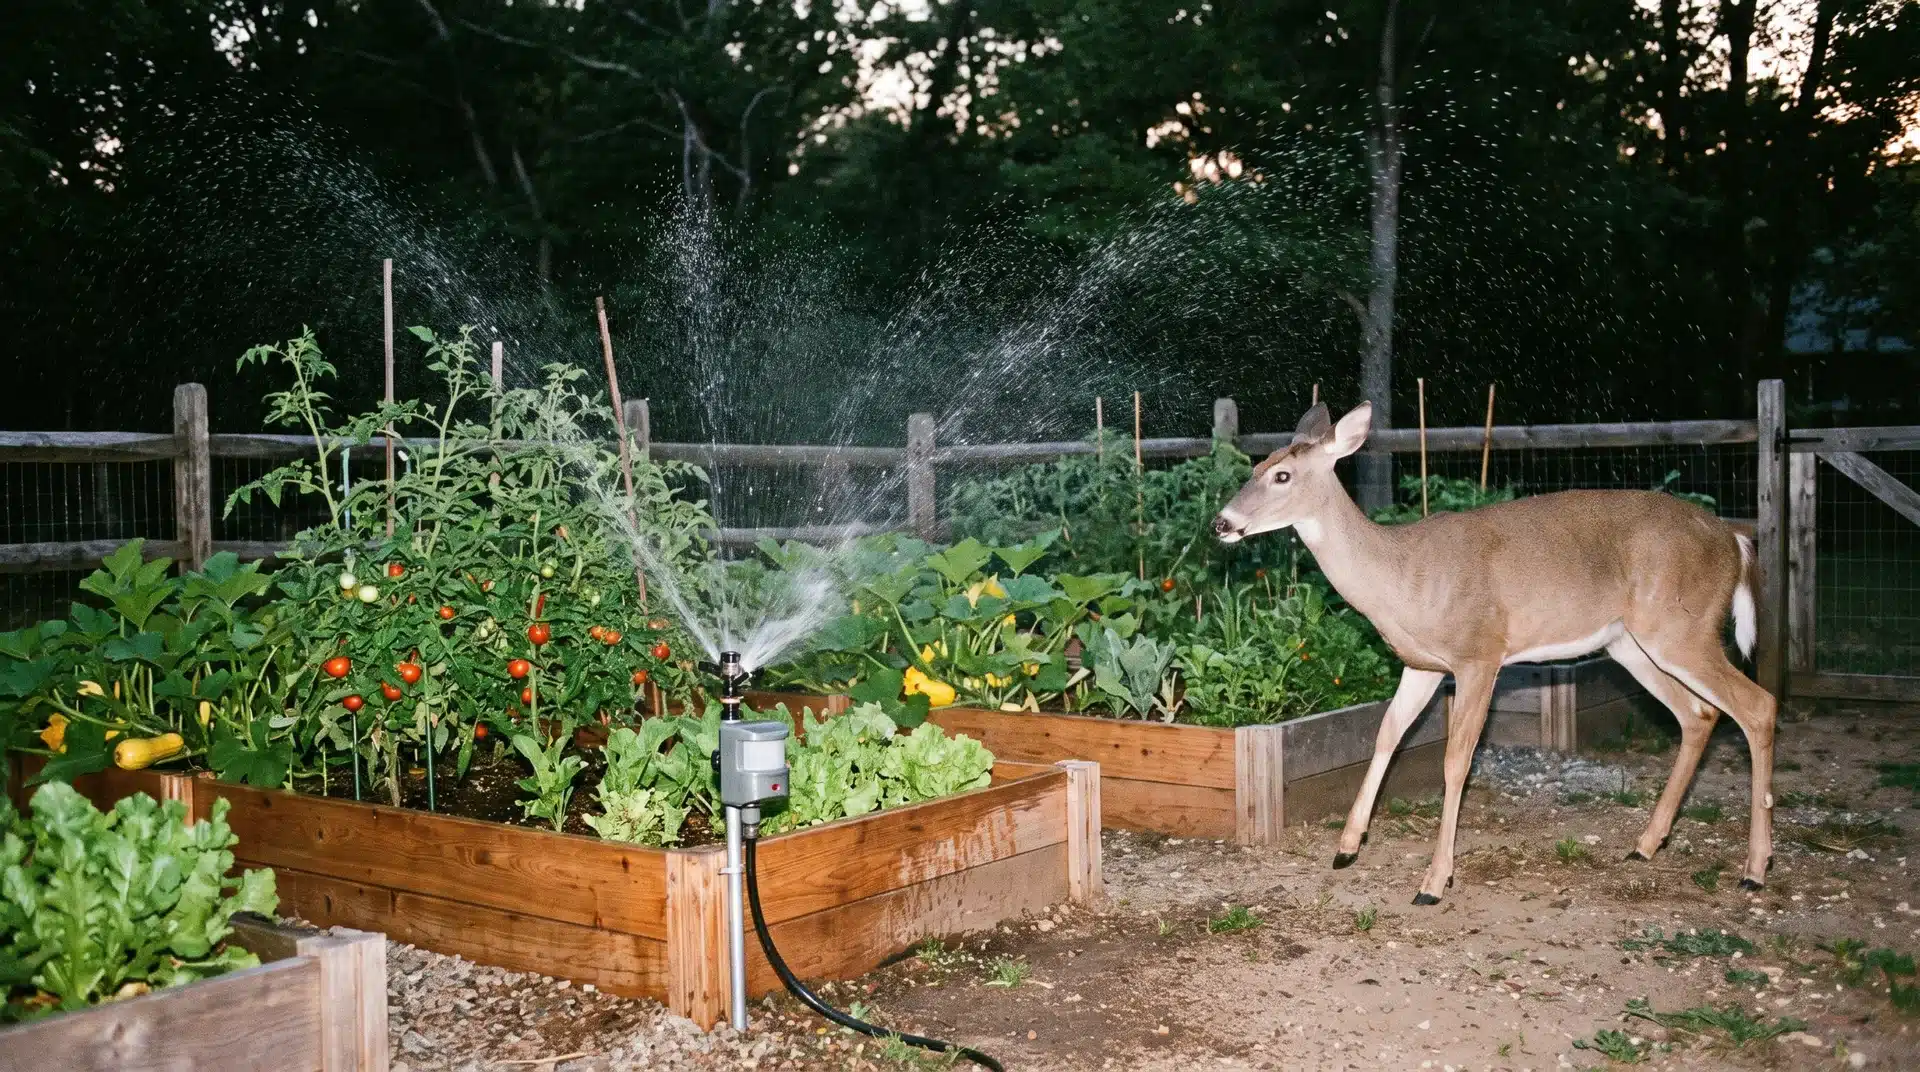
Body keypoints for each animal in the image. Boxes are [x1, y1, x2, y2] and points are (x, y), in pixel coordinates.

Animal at [1211, 401, 1776, 905]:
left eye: (1282, 475)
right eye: (1255, 466)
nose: (1221, 523)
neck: (1399, 577)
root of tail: (1734, 539)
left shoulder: (1479, 653)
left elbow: (1457, 761)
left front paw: (1434, 882)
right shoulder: (1421, 663)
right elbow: (1386, 736)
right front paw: (1347, 847)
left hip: (1681, 627)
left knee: (1757, 706)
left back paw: (1754, 869)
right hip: (1632, 643)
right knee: (1698, 714)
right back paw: (1647, 844)